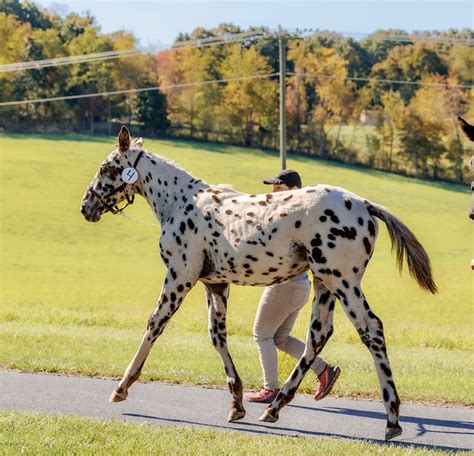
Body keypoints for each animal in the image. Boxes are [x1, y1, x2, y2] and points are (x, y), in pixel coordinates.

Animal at [78, 126, 436, 440]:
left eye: (106, 167)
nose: (86, 207)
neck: (181, 202)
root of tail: (365, 205)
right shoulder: (215, 284)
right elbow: (217, 335)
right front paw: (236, 403)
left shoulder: (181, 275)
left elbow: (155, 324)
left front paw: (121, 387)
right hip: (324, 284)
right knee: (318, 335)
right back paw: (275, 407)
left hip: (343, 281)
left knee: (370, 329)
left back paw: (392, 420)